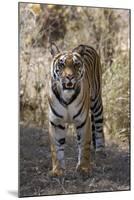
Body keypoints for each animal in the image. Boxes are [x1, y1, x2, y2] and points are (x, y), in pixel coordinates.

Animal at [47, 43, 105, 176]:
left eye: (76, 64)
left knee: (99, 126)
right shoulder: (56, 122)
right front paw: (58, 170)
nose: (70, 76)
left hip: (97, 102)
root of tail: (87, 45)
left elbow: (84, 145)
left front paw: (83, 168)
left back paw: (100, 152)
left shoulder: (83, 121)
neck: (67, 96)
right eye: (61, 64)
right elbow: (56, 148)